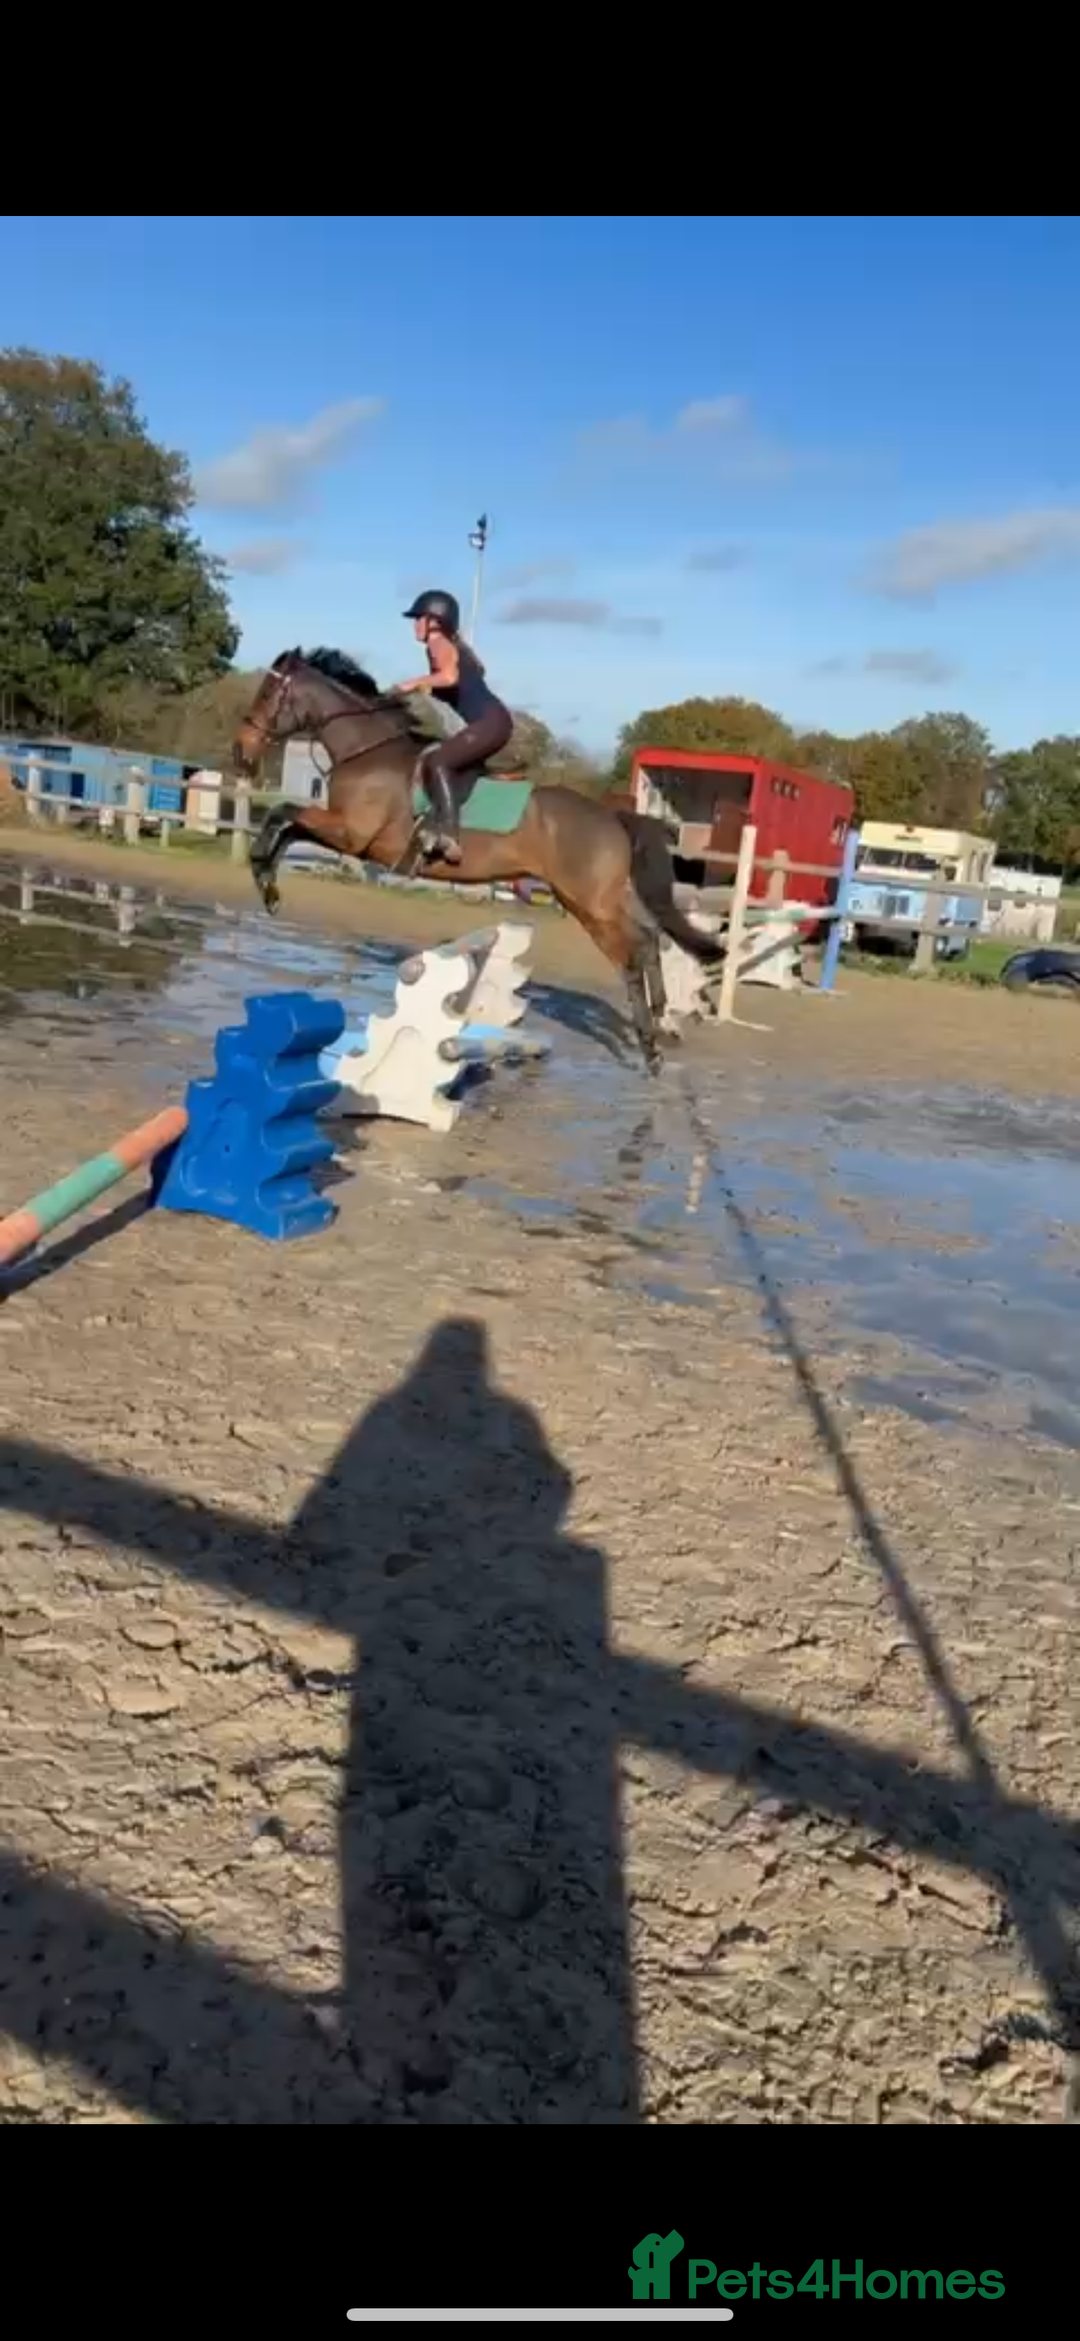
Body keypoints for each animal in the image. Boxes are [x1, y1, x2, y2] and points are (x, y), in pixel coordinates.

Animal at [233, 648, 725, 1072]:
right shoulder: (345, 834)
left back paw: (651, 1045)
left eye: (268, 694)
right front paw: (269, 886)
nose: (242, 752)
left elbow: (282, 815)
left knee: (632, 951)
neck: (368, 750)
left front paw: (264, 878)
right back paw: (664, 1022)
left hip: (589, 903)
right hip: (599, 898)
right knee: (649, 937)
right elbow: (286, 825)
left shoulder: (352, 834)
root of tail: (612, 815)